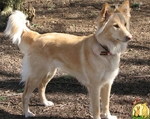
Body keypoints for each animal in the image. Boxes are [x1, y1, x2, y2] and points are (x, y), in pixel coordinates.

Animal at [4, 0, 132, 118]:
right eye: (115, 26)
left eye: (125, 24)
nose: (130, 37)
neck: (105, 49)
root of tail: (38, 36)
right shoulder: (95, 86)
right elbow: (97, 109)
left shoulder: (108, 83)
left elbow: (106, 104)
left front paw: (108, 116)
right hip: (36, 75)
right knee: (25, 95)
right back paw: (27, 113)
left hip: (49, 73)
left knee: (41, 87)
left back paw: (44, 102)